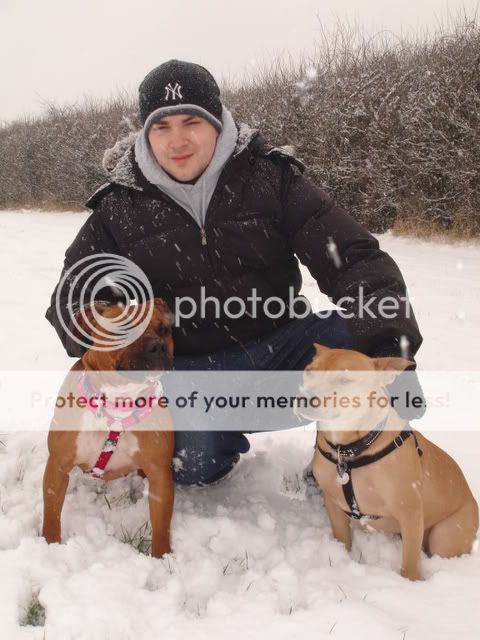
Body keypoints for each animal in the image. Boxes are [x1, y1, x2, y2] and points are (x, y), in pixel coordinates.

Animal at [42, 298, 174, 556]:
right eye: (123, 330)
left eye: (164, 329)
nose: (157, 346)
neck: (118, 405)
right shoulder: (57, 466)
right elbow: (51, 515)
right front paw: (49, 547)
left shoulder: (160, 474)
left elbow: (162, 527)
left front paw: (163, 559)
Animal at [298, 344, 478, 580]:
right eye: (309, 371)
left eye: (344, 380)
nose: (304, 397)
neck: (349, 450)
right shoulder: (333, 503)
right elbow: (343, 538)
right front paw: (341, 559)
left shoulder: (410, 511)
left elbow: (409, 562)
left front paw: (409, 583)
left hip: (446, 534)